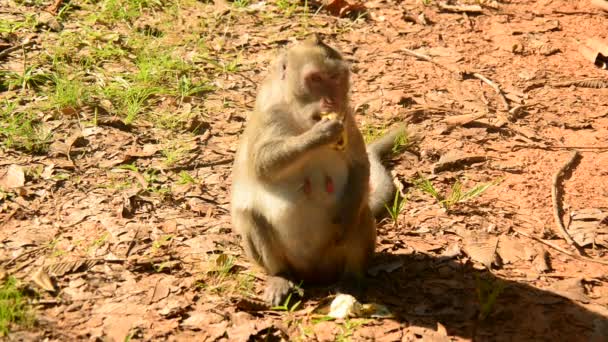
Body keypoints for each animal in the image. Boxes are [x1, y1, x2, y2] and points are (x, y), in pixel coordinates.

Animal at [230, 36, 406, 306]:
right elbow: (261, 164)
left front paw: (344, 221)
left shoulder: (348, 117)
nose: (332, 101)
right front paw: (318, 135)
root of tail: (314, 275)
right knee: (250, 216)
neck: (299, 116)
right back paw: (280, 276)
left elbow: (359, 165)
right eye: (315, 79)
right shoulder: (269, 113)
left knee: (361, 213)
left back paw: (352, 279)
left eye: (335, 78)